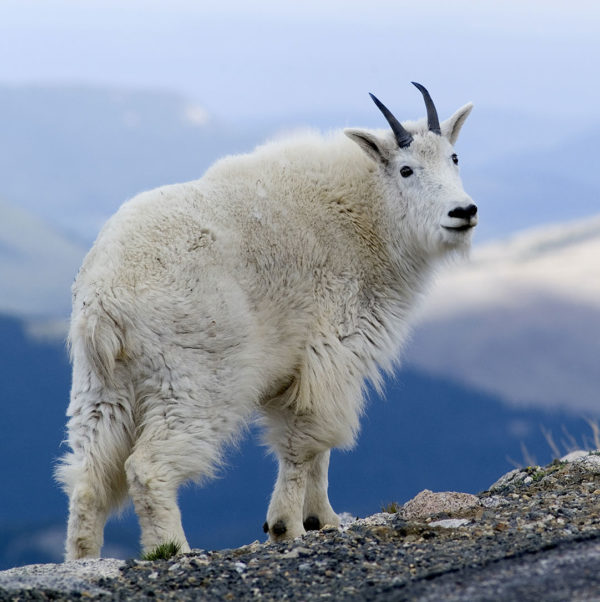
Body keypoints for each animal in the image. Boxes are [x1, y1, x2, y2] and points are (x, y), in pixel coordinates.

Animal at [56, 82, 478, 556]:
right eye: (406, 170)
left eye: (454, 158)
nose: (463, 212)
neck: (366, 216)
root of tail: (105, 299)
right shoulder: (332, 352)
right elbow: (307, 444)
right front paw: (290, 525)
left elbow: (315, 450)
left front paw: (319, 520)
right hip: (195, 379)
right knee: (147, 467)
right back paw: (175, 550)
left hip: (100, 387)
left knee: (88, 479)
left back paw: (83, 559)